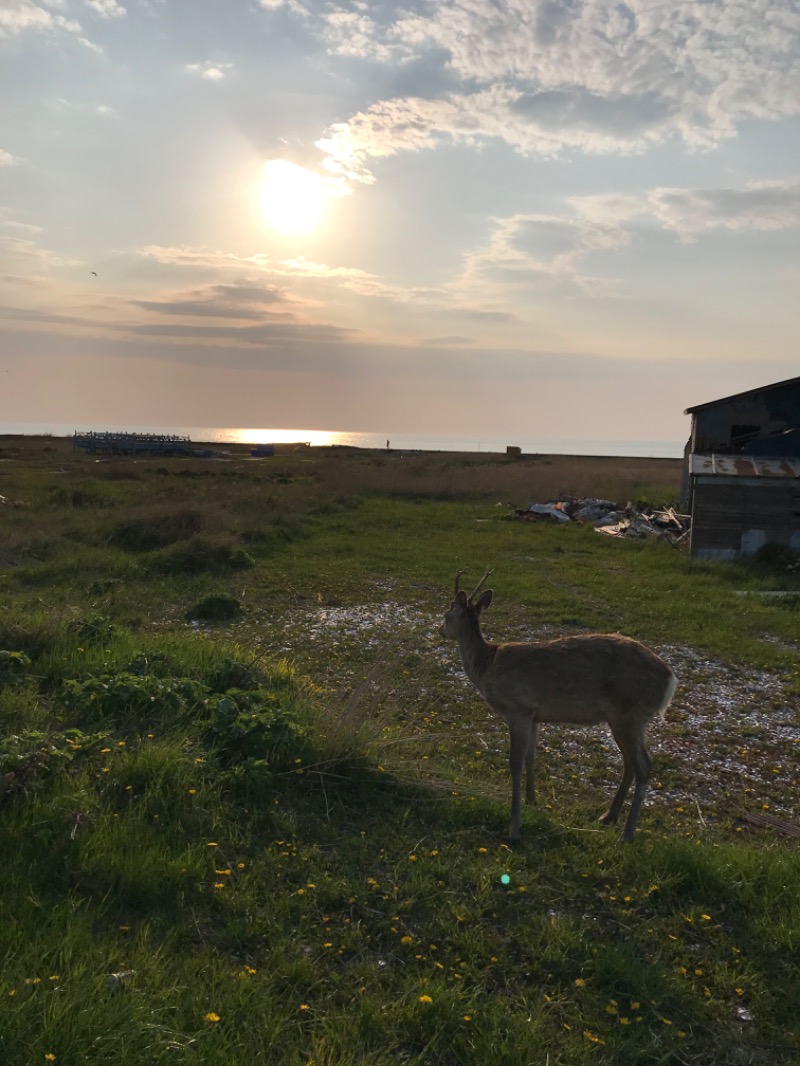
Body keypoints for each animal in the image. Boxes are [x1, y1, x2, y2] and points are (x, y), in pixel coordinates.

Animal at [441, 571, 678, 844]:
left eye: (446, 612)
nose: (440, 629)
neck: (486, 665)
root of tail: (670, 680)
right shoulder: (534, 714)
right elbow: (531, 757)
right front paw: (531, 800)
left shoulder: (518, 707)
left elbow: (515, 762)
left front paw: (514, 829)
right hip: (622, 718)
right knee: (630, 763)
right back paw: (608, 816)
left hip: (631, 713)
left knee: (644, 765)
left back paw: (627, 834)